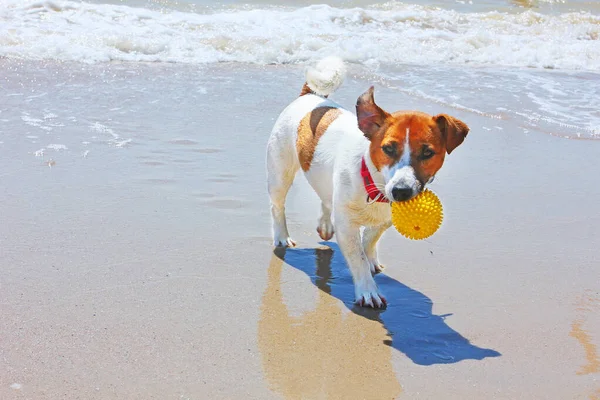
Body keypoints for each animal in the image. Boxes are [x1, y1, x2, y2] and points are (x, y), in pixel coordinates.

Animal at [266, 56, 468, 308]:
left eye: (428, 153)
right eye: (388, 148)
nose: (401, 191)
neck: (373, 184)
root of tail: (309, 96)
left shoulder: (384, 220)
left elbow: (370, 239)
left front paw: (369, 256)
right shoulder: (346, 225)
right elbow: (358, 257)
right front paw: (368, 290)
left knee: (326, 198)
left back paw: (325, 225)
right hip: (280, 173)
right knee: (277, 206)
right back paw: (282, 236)